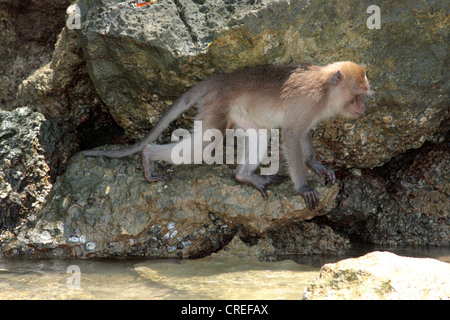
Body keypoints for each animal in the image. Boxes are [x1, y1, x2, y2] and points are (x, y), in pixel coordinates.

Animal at [82, 60, 370, 210]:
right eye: (358, 95)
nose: (363, 107)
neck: (325, 90)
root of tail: (222, 79)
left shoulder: (312, 113)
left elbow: (303, 135)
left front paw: (316, 165)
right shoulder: (307, 103)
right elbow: (290, 135)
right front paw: (303, 187)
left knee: (260, 133)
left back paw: (244, 176)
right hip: (217, 104)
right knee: (206, 143)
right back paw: (148, 156)